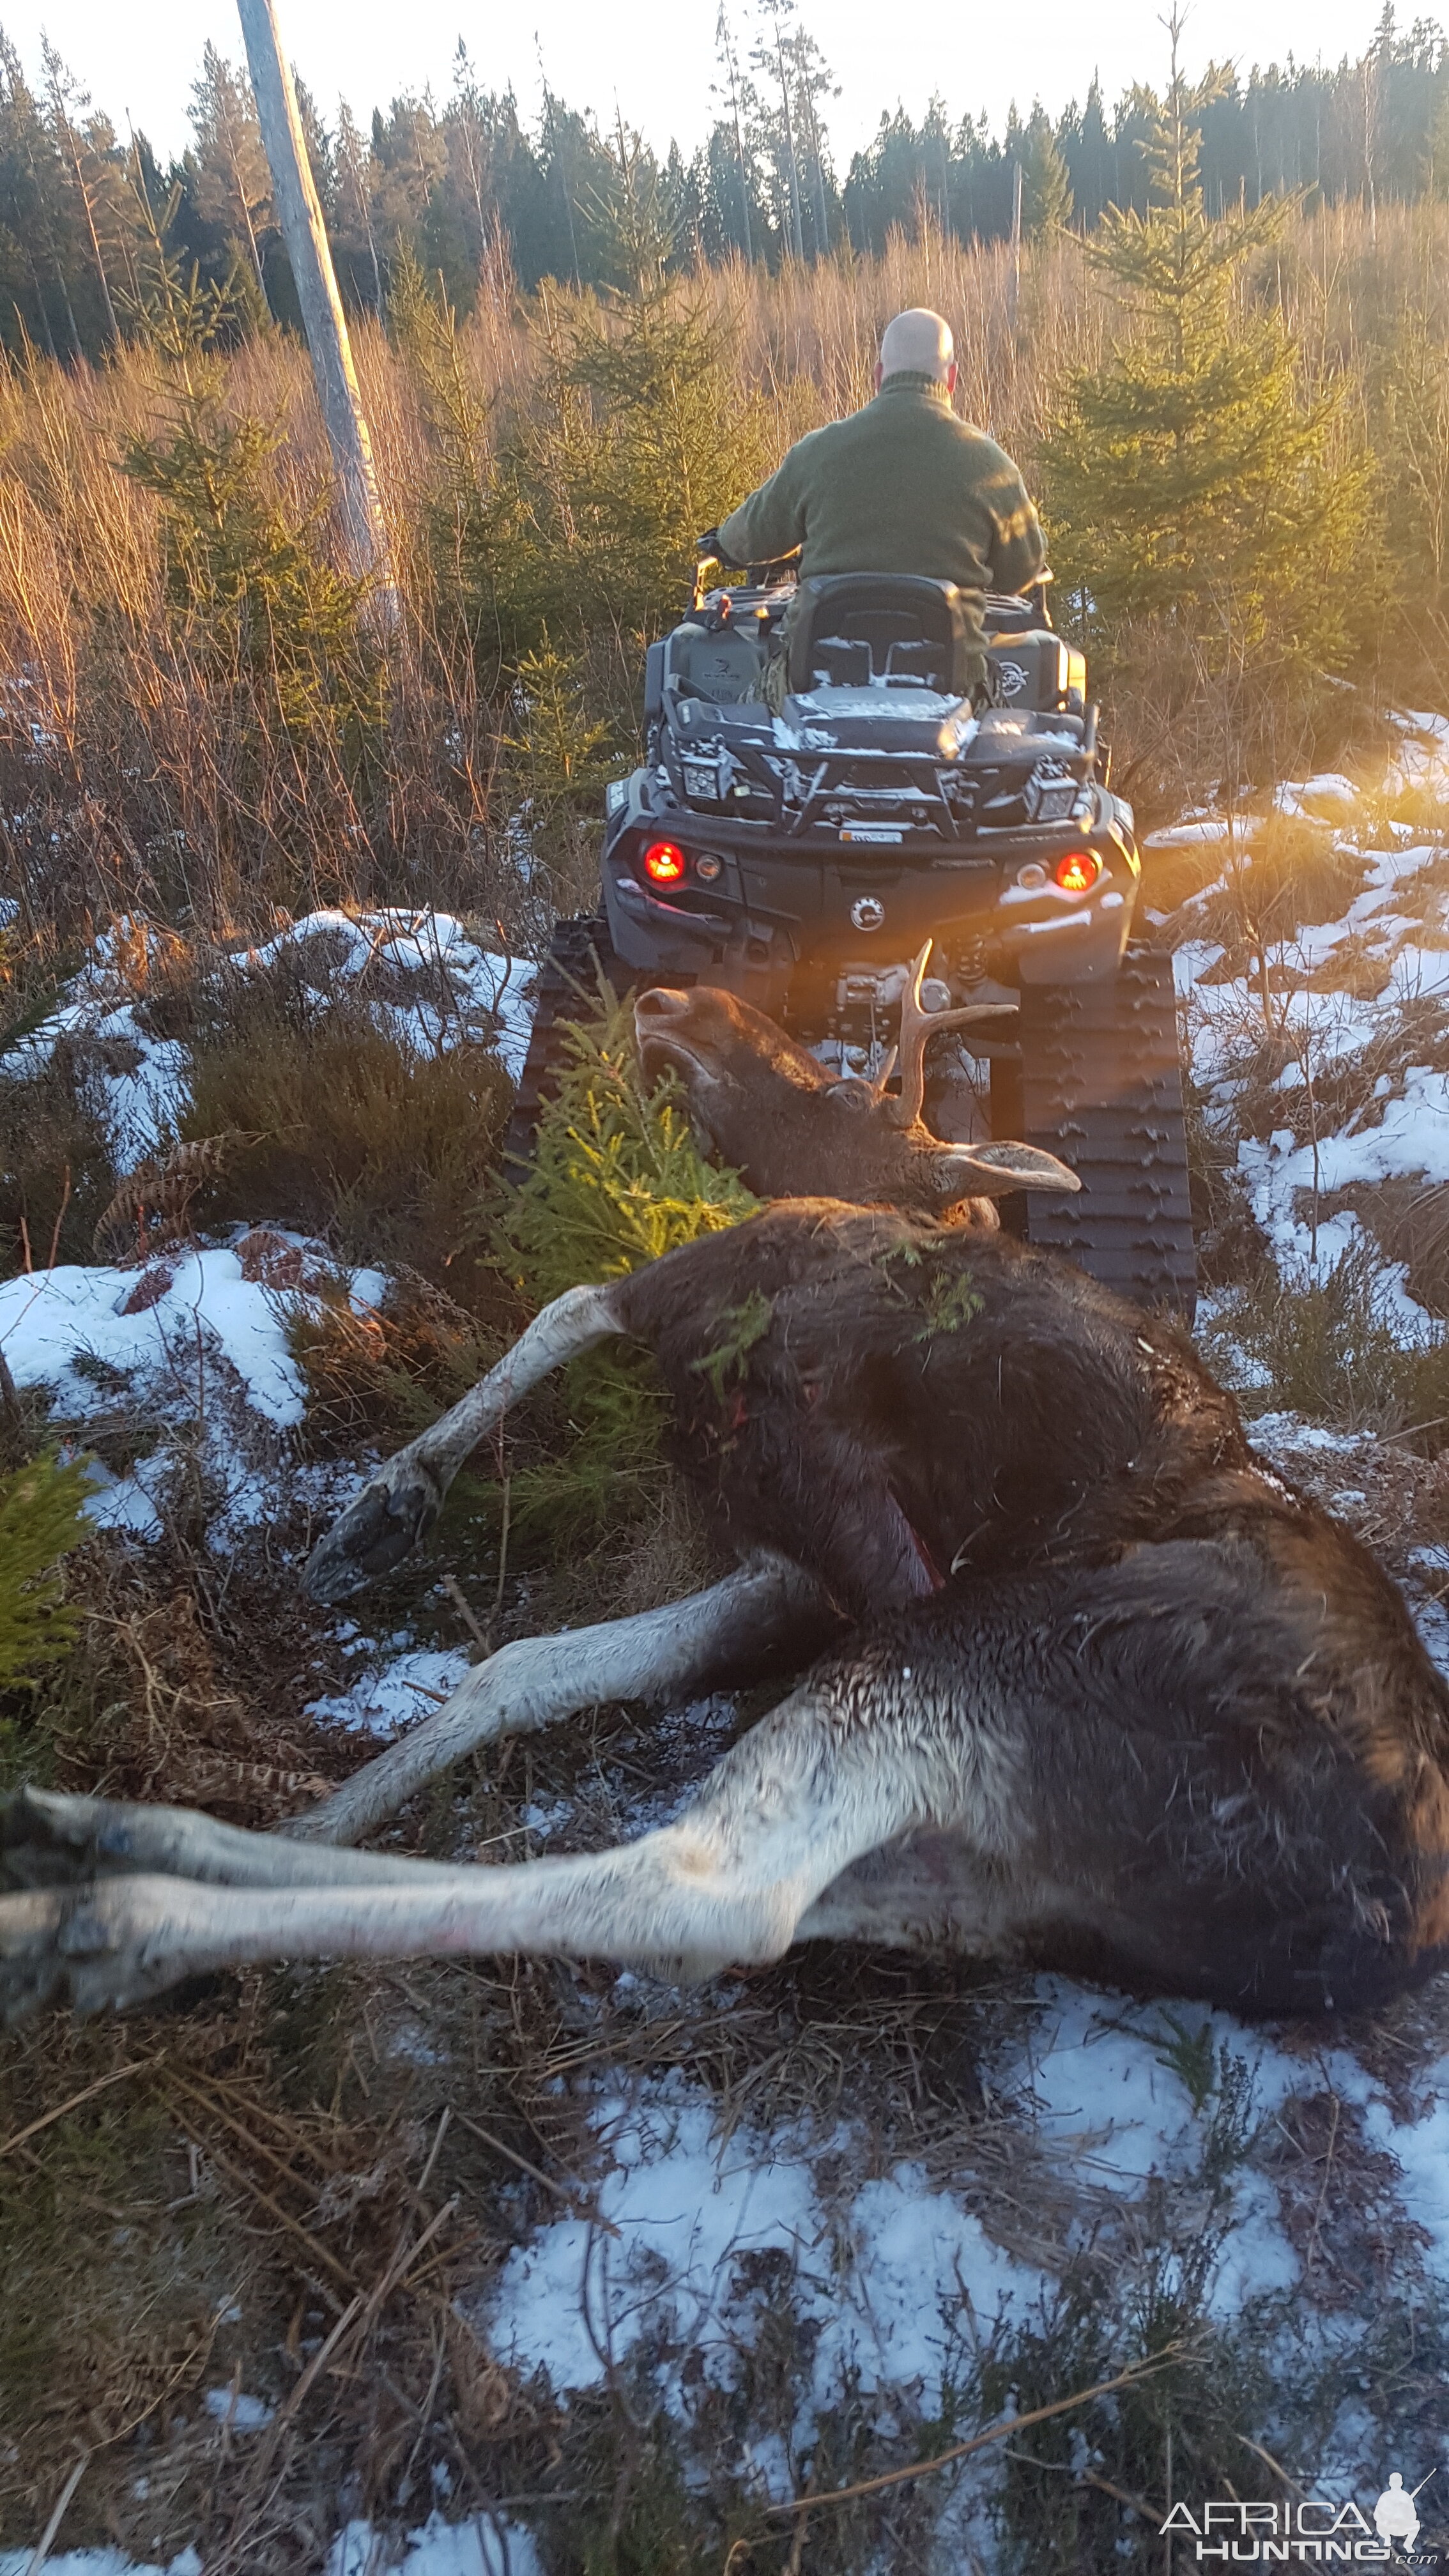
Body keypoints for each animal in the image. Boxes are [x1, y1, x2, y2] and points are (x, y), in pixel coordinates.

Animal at [3, 953, 1443, 2030]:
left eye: (847, 1081)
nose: (673, 999)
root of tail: (1382, 1908)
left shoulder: (710, 1292)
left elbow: (562, 1306)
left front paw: (390, 1495)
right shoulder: (789, 1579)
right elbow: (517, 1668)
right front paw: (335, 1785)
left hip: (959, 1661)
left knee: (704, 1891)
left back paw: (117, 1912)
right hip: (981, 1872)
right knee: (750, 1893)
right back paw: (127, 1841)